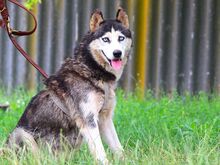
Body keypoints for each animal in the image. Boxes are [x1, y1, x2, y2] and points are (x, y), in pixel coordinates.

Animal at [6, 8, 131, 164]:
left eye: (121, 38)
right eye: (105, 39)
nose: (117, 53)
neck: (91, 71)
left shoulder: (105, 119)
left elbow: (118, 148)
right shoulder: (88, 120)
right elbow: (101, 152)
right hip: (21, 134)